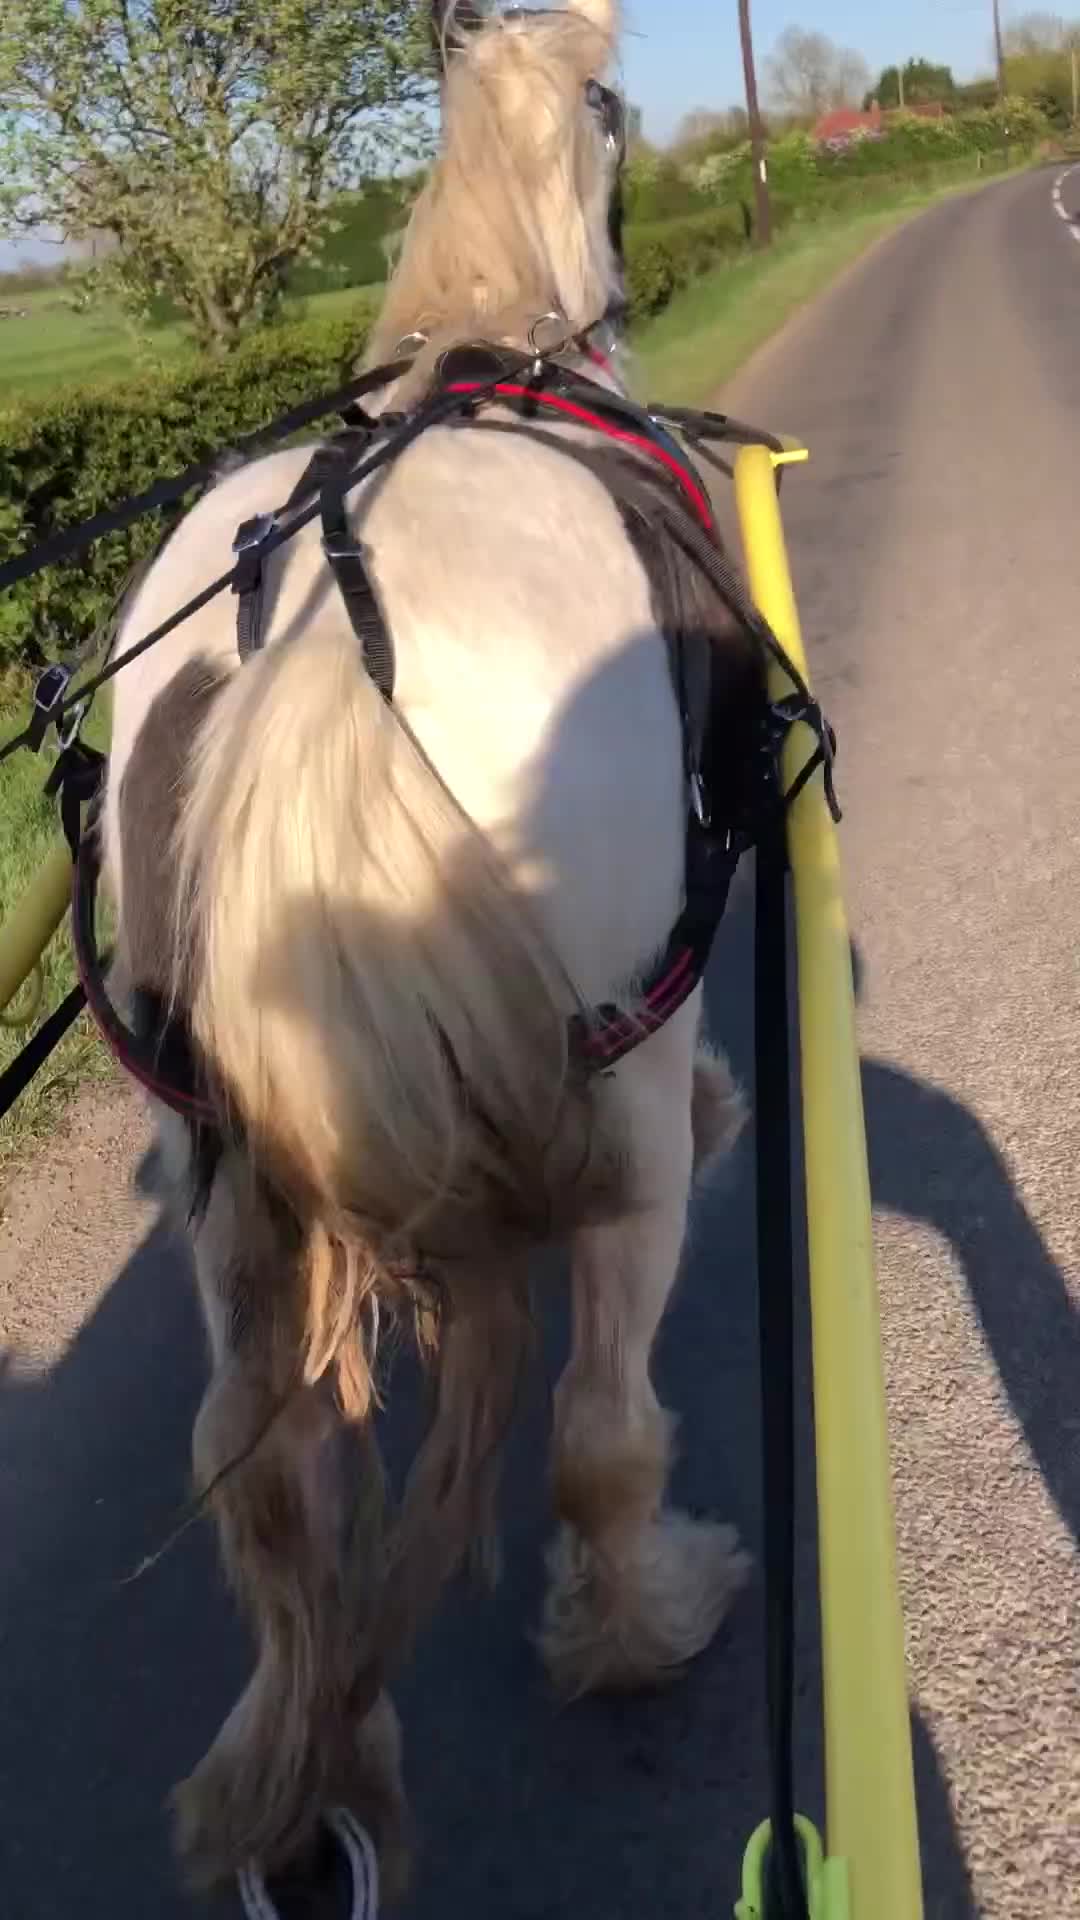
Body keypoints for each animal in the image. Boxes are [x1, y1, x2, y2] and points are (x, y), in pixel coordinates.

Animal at [101, 0, 752, 1898]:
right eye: (613, 109)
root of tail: (329, 618)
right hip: (619, 1092)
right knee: (600, 1434)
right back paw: (645, 1618)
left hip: (220, 1176)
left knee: (269, 1483)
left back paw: (308, 1765)